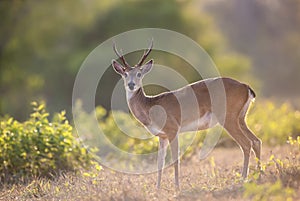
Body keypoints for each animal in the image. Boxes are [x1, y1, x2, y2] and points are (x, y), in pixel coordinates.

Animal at [111, 40, 262, 189]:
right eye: (125, 74)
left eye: (139, 73)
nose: (131, 85)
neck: (150, 105)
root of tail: (246, 87)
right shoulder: (162, 136)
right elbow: (160, 162)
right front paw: (157, 189)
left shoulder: (173, 131)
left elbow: (175, 160)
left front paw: (177, 188)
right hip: (241, 118)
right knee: (256, 141)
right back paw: (259, 176)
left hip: (228, 119)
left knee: (246, 144)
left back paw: (243, 179)